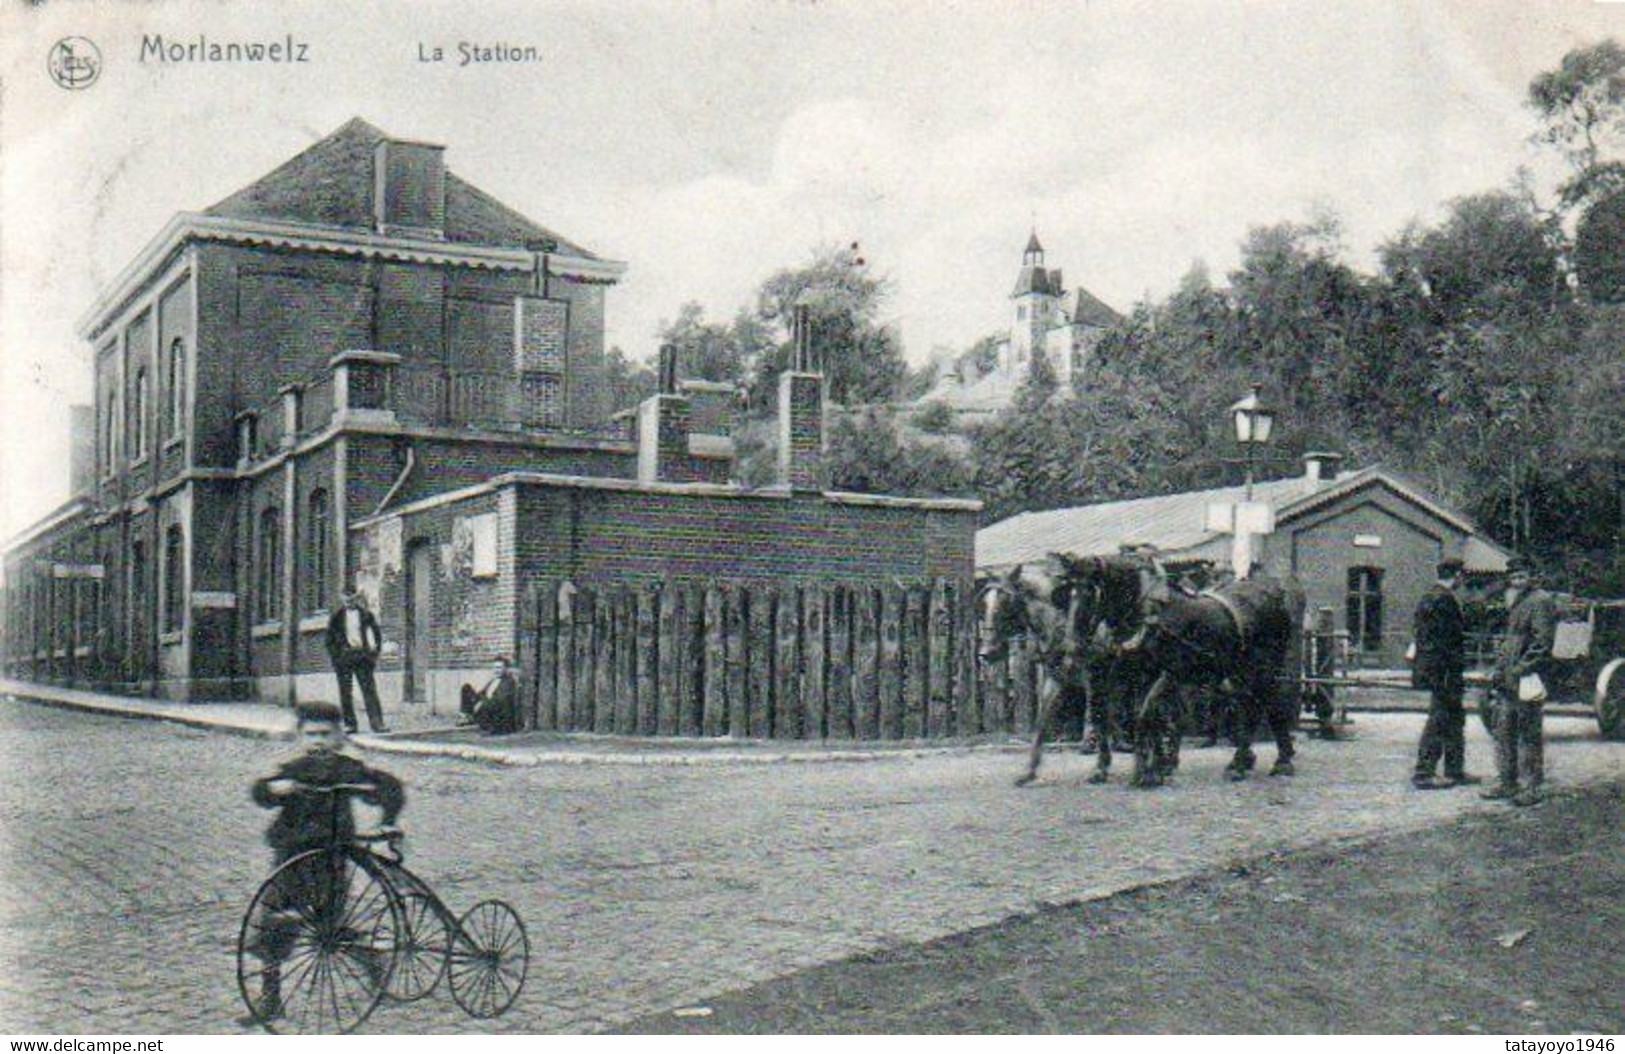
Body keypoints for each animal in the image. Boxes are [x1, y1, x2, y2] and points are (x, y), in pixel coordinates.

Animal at [1053, 552, 1306, 779]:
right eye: (1067, 594)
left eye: (1089, 592)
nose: (1073, 645)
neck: (1147, 614)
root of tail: (1273, 593)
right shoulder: (1125, 676)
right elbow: (1118, 715)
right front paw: (1149, 763)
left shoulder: (1167, 674)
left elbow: (1147, 715)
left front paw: (1148, 771)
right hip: (1238, 672)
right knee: (1249, 705)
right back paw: (1241, 761)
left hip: (1265, 667)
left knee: (1271, 705)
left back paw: (1279, 761)